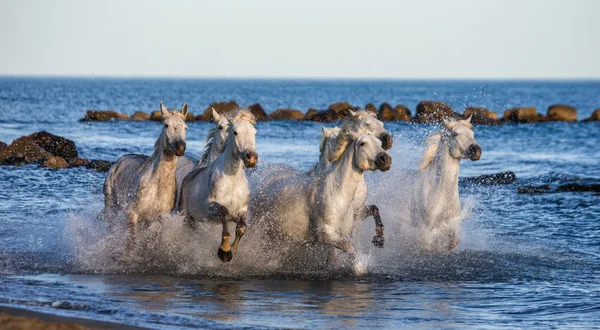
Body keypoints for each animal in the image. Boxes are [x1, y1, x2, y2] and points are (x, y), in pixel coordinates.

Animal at [101, 102, 188, 249]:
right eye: (166, 125)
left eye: (186, 127)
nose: (180, 147)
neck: (157, 185)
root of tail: (118, 162)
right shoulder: (132, 214)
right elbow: (131, 244)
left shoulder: (158, 220)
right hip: (111, 206)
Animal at [178, 108, 258, 262]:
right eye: (235, 132)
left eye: (254, 132)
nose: (251, 157)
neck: (232, 181)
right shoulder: (211, 207)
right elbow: (224, 212)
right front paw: (224, 251)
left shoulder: (241, 211)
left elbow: (241, 228)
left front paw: (232, 252)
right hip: (187, 217)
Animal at [412, 116, 482, 250]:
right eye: (455, 134)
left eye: (472, 134)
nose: (476, 150)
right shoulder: (425, 232)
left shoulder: (450, 227)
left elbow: (452, 243)